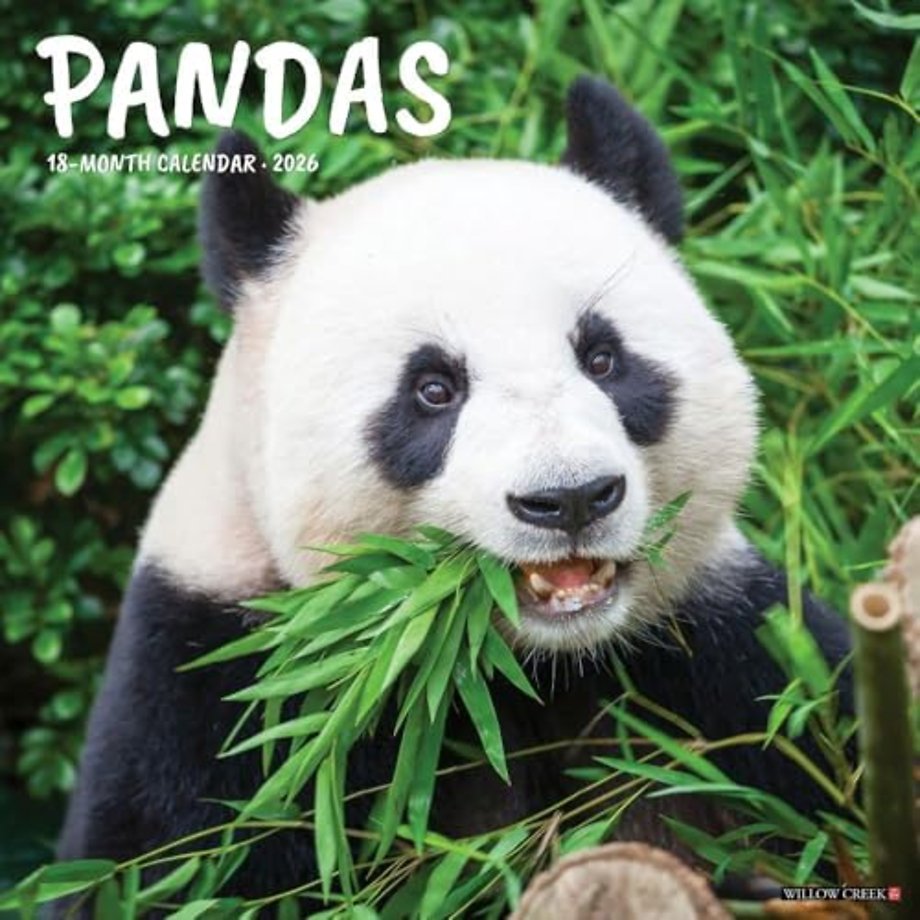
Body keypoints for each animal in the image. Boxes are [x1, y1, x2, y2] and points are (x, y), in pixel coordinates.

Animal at [58, 77, 853, 901]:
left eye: (604, 359)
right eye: (433, 389)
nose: (570, 498)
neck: (516, 664)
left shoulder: (725, 649)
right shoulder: (220, 679)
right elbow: (168, 857)